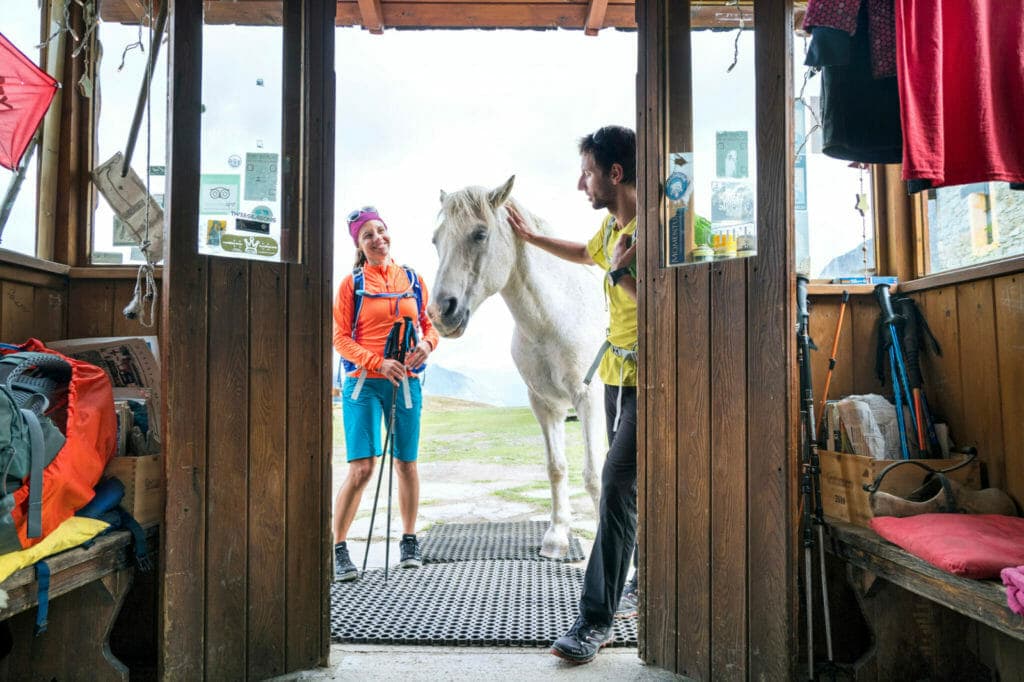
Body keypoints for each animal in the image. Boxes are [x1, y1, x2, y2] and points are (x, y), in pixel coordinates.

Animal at [425, 176, 606, 557]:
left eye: (480, 234)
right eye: (436, 240)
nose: (440, 312)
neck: (552, 321)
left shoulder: (588, 399)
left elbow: (594, 475)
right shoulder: (545, 405)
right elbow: (556, 468)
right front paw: (557, 536)